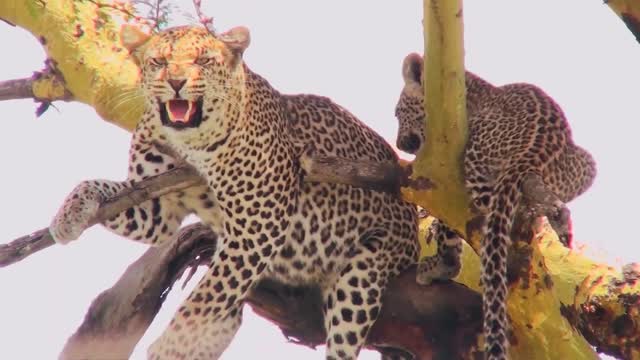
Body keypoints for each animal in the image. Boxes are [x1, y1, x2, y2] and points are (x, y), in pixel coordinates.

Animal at [51, 23, 420, 358]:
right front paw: (67, 217)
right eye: (158, 61)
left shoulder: (259, 223)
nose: (175, 82)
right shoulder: (158, 211)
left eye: (202, 60)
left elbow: (208, 295)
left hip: (365, 270)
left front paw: (171, 346)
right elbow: (94, 186)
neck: (189, 145)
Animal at [392, 52, 596, 358]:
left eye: (397, 113)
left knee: (487, 208)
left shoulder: (447, 165)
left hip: (475, 155)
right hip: (586, 165)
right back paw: (556, 220)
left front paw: (442, 261)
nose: (398, 143)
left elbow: (448, 228)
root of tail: (536, 149)